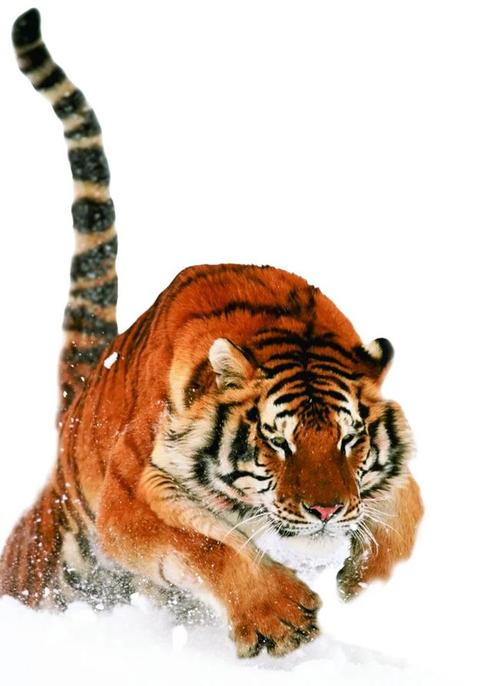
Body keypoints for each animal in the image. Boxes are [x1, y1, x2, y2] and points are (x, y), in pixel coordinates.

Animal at [0, 8, 423, 658]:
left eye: (350, 440)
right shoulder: (130, 499)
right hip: (48, 562)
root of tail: (79, 402)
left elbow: (406, 505)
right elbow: (205, 543)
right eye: (278, 443)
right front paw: (279, 618)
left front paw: (368, 581)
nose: (328, 510)